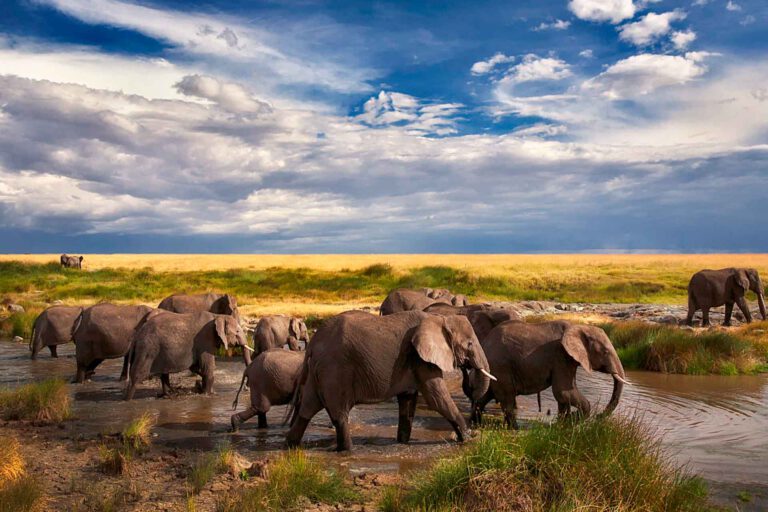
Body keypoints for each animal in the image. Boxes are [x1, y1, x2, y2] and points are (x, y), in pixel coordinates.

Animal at [285, 310, 496, 452]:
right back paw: (348, 450)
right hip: (334, 370)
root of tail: (312, 345)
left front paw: (402, 442)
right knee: (339, 413)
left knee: (307, 408)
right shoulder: (420, 357)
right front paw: (469, 438)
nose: (465, 368)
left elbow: (408, 400)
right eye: (470, 344)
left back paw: (291, 444)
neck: (440, 318)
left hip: (318, 372)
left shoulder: (412, 360)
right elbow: (437, 398)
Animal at [465, 320, 627, 429]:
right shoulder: (560, 356)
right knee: (507, 398)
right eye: (605, 352)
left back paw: (475, 423)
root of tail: (484, 343)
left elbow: (564, 395)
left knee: (484, 396)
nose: (599, 416)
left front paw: (562, 424)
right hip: (501, 367)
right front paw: (572, 420)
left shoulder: (567, 359)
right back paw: (515, 428)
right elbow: (563, 391)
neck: (579, 326)